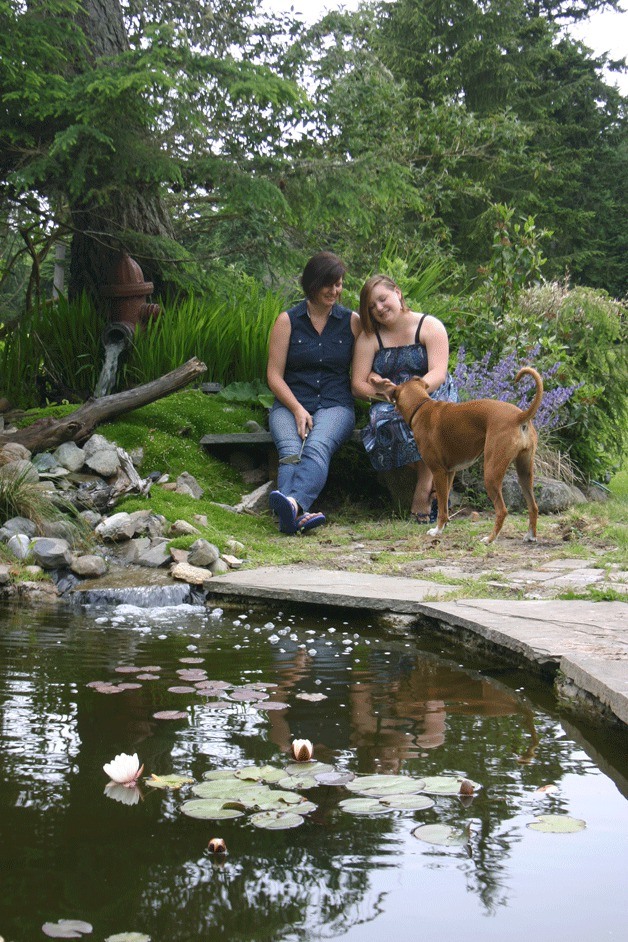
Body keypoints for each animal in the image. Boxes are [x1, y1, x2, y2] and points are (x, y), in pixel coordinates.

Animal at [394, 368, 544, 544]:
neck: (421, 407)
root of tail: (518, 416)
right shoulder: (449, 473)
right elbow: (444, 505)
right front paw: (443, 527)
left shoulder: (438, 472)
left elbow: (441, 507)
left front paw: (437, 530)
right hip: (524, 474)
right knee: (533, 506)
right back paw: (531, 536)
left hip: (491, 474)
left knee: (502, 511)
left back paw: (489, 539)